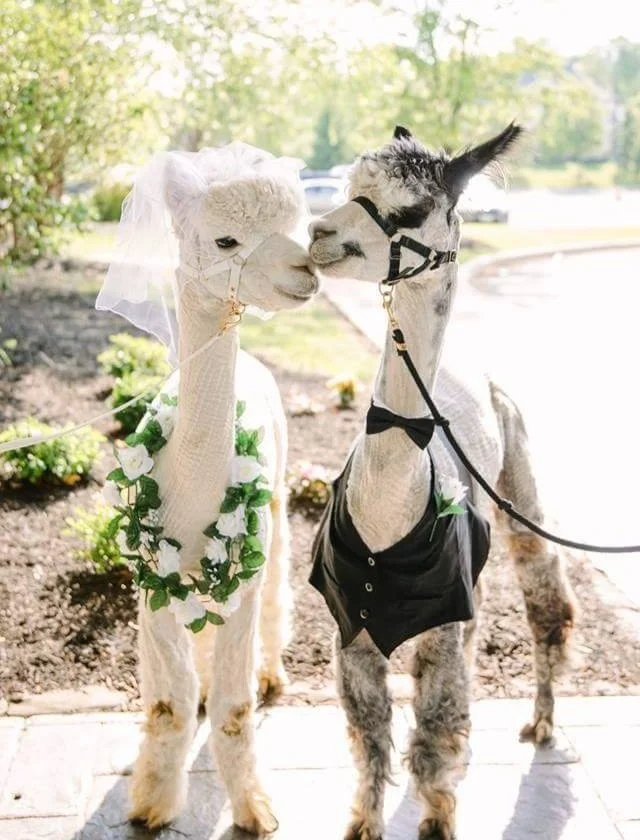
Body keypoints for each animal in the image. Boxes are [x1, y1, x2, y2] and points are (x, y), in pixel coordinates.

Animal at [99, 143, 317, 832]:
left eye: (299, 227)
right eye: (226, 240)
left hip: (275, 501)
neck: (192, 495)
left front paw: (254, 808)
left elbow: (235, 707)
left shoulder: (243, 572)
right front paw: (150, 804)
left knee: (275, 590)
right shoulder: (148, 577)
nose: (308, 269)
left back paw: (272, 673)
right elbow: (167, 704)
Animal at [308, 124, 576, 840]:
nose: (317, 231)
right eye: (350, 186)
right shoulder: (352, 635)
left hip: (520, 484)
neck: (385, 522)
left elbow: (431, 744)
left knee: (547, 604)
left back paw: (542, 723)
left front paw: (437, 820)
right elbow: (371, 744)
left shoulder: (436, 635)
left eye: (408, 211)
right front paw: (364, 823)